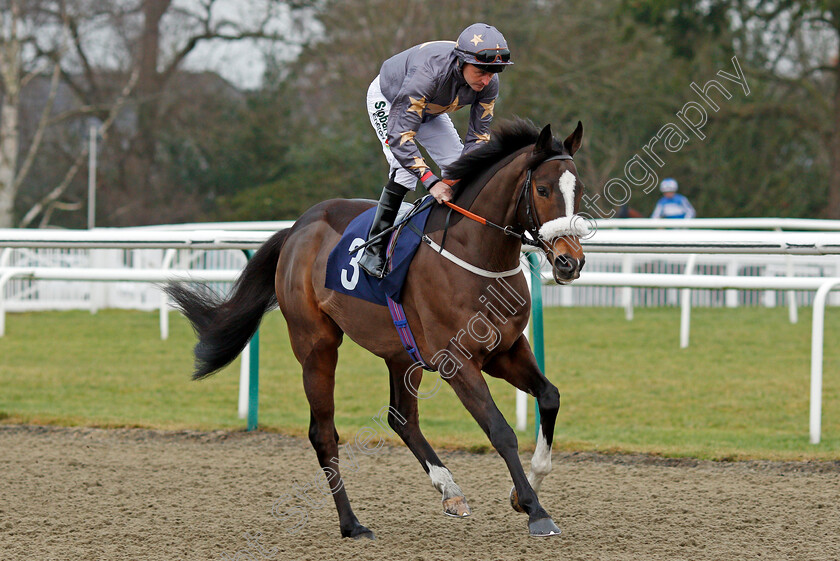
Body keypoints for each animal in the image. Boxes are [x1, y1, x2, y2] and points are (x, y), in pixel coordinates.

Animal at [164, 119, 584, 540]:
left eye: (577, 189)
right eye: (543, 189)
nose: (570, 262)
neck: (475, 255)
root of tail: (297, 228)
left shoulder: (506, 350)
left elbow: (550, 396)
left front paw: (524, 492)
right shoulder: (458, 362)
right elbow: (500, 430)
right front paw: (535, 510)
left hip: (401, 353)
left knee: (403, 419)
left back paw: (449, 491)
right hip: (316, 344)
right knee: (324, 433)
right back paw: (351, 523)